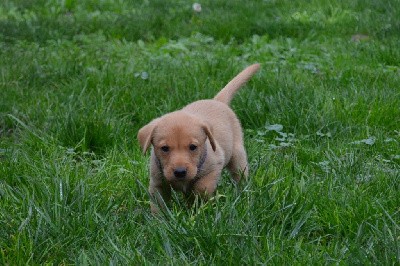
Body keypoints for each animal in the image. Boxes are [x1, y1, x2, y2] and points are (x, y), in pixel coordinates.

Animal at [138, 63, 260, 213]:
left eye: (193, 147)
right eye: (164, 148)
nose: (180, 172)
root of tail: (217, 101)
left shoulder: (214, 167)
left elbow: (202, 188)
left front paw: (196, 203)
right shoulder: (158, 184)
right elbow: (158, 205)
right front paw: (159, 218)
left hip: (238, 158)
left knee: (241, 178)